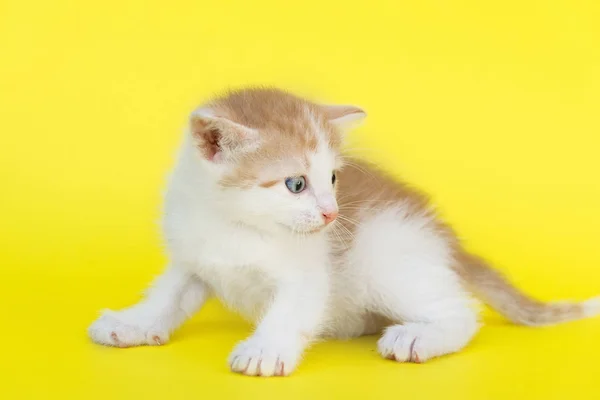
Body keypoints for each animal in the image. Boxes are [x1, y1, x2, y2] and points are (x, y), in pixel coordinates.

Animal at [86, 88, 596, 378]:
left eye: (333, 178)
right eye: (296, 184)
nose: (332, 216)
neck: (236, 223)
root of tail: (445, 237)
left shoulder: (310, 269)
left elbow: (292, 306)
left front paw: (266, 349)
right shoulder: (195, 257)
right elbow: (168, 295)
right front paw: (131, 324)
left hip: (385, 255)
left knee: (461, 313)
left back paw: (417, 337)